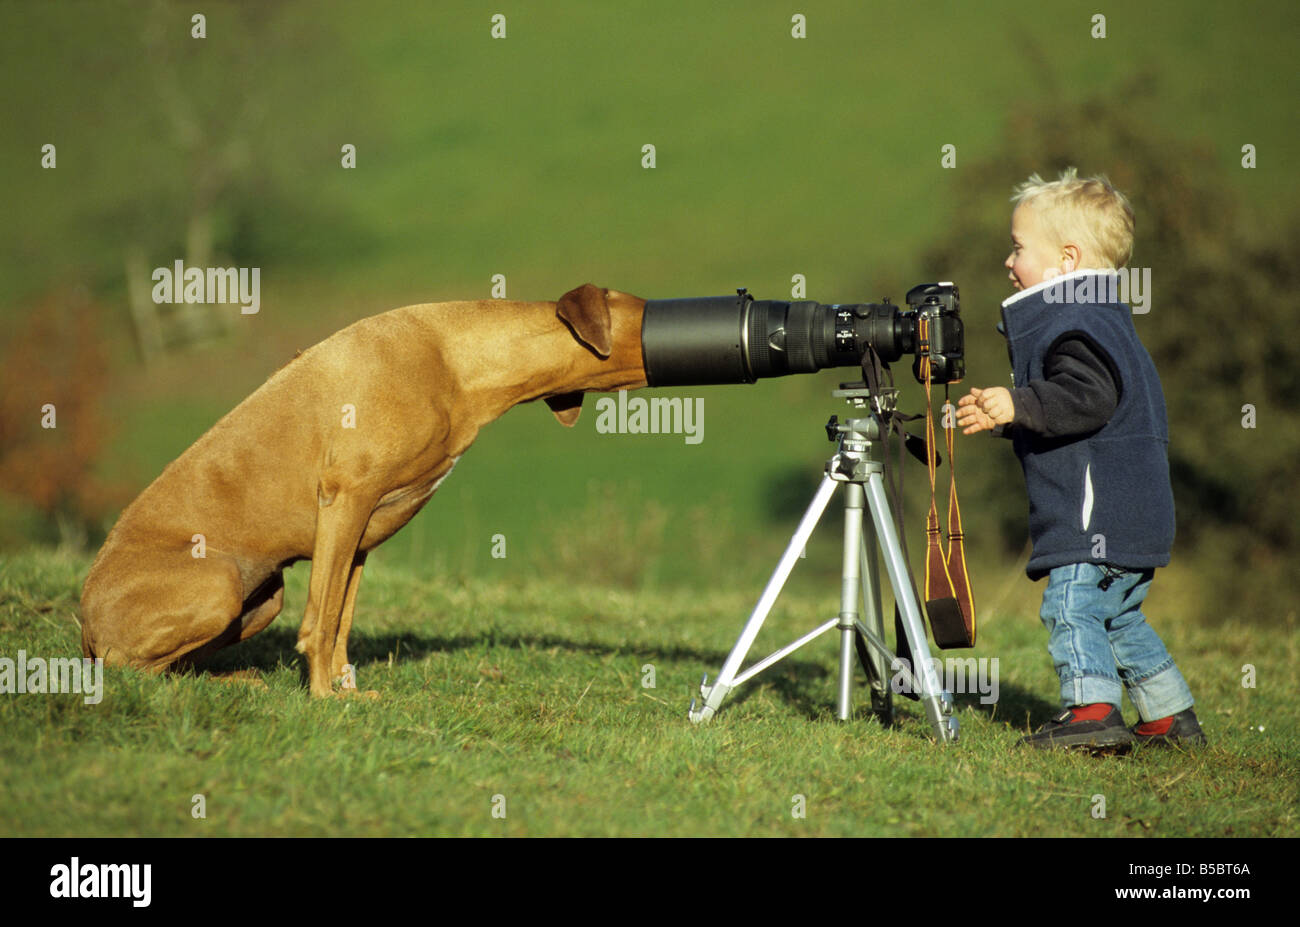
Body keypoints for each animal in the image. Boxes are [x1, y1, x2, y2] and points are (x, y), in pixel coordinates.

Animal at [78, 282, 647, 696]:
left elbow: (342, 621)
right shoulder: (345, 500)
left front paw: (348, 693)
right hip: (217, 584)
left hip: (263, 600)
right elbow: (322, 620)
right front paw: (325, 699)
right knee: (131, 671)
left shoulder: (361, 534)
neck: (454, 359)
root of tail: (85, 625)